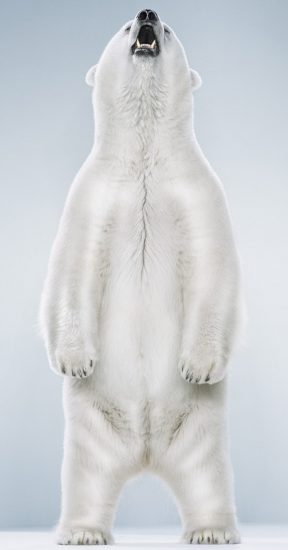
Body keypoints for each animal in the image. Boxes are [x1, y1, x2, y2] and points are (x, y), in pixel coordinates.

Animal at [39, 8, 244, 548]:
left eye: (168, 29)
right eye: (123, 26)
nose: (148, 13)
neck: (146, 161)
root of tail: (147, 455)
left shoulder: (199, 194)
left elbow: (214, 267)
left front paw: (198, 365)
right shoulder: (92, 197)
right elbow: (71, 269)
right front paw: (75, 361)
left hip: (200, 428)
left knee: (208, 475)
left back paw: (212, 530)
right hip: (92, 427)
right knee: (85, 475)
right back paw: (81, 531)